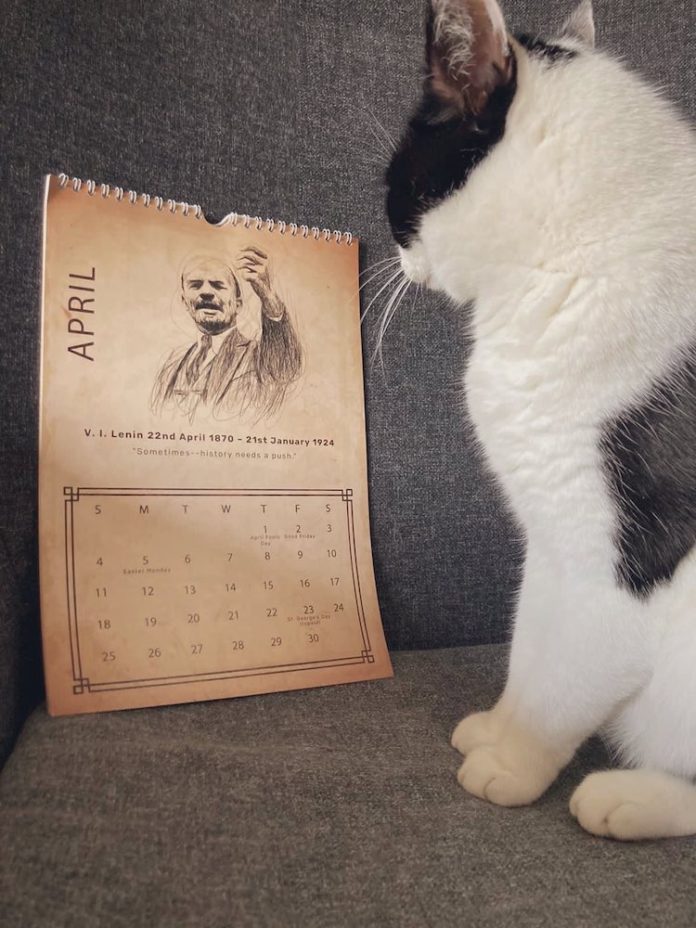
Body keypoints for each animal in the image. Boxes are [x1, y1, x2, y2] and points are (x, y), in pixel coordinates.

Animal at [384, 0, 696, 840]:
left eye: (399, 188)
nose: (398, 257)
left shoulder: (614, 562)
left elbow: (562, 684)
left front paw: (516, 764)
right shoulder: (548, 538)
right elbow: (530, 650)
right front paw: (497, 727)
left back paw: (626, 797)